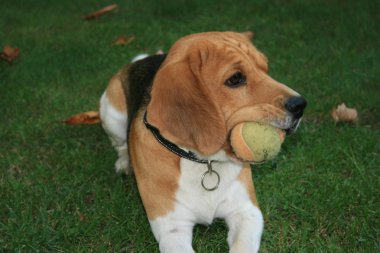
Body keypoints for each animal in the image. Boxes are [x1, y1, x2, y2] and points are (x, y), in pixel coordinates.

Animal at [98, 31, 306, 253]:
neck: (203, 162)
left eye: (265, 68)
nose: (300, 104)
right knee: (120, 144)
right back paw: (124, 162)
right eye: (235, 79)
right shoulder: (172, 229)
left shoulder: (247, 212)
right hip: (111, 113)